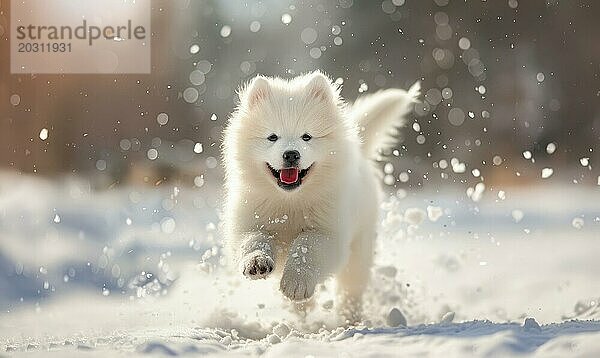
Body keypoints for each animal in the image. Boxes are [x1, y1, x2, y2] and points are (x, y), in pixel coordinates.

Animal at [221, 70, 422, 322]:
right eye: (272, 137)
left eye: (306, 137)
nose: (291, 154)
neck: (290, 202)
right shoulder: (248, 220)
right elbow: (253, 239)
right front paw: (257, 262)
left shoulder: (329, 232)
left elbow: (307, 246)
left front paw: (296, 283)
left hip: (359, 248)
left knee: (351, 287)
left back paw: (348, 317)